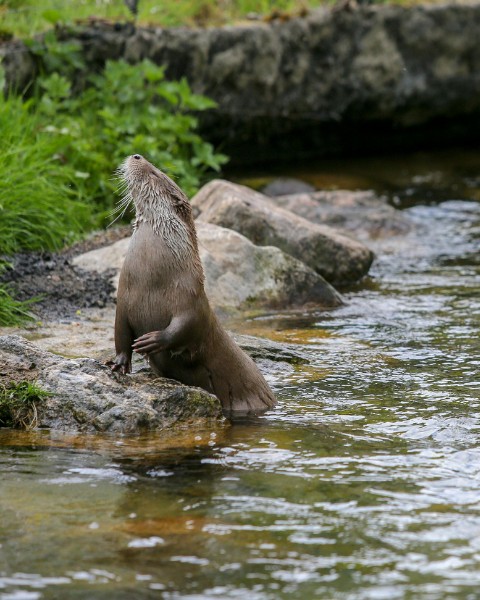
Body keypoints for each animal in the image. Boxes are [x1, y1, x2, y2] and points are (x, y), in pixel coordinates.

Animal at [110, 154, 276, 415]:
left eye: (155, 173)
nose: (137, 156)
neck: (151, 282)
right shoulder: (124, 300)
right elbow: (121, 334)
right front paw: (119, 363)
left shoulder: (191, 298)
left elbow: (188, 325)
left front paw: (154, 339)